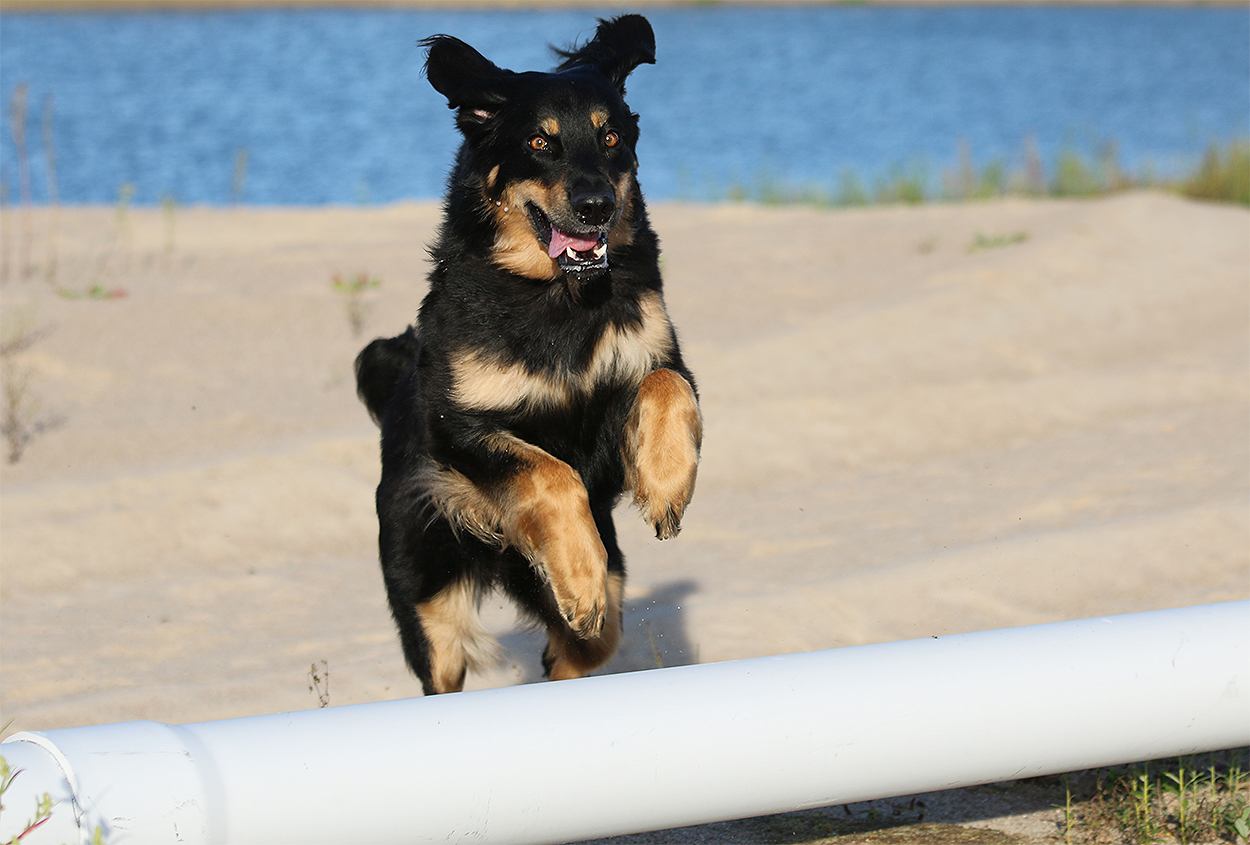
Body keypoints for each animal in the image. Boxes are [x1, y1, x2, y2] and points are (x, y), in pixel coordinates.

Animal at [355, 15, 701, 696]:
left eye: (612, 137)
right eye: (541, 143)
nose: (596, 206)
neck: (557, 293)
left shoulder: (655, 359)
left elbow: (665, 386)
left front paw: (667, 485)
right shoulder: (459, 427)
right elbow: (548, 470)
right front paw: (579, 576)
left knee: (582, 648)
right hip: (428, 593)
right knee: (442, 664)